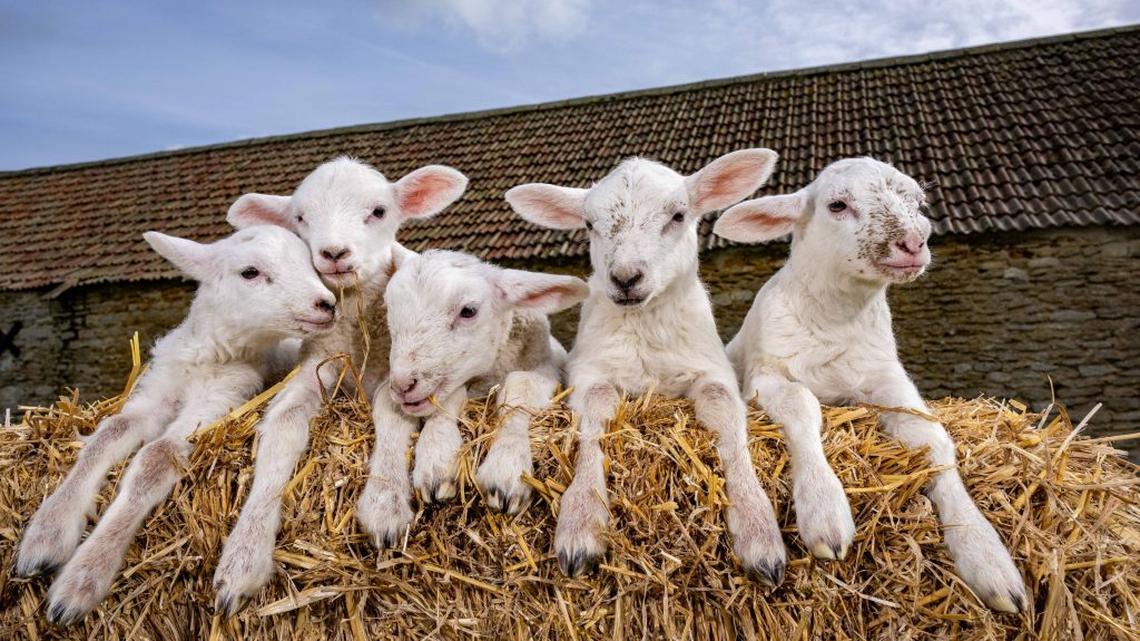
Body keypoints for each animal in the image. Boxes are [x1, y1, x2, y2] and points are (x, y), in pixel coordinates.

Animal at [15, 225, 337, 624]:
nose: (327, 303)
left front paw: (83, 577)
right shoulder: (156, 392)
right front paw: (46, 533)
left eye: (311, 263)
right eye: (250, 272)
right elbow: (110, 432)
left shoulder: (220, 397)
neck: (209, 353)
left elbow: (157, 455)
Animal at [212, 157, 468, 614]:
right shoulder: (318, 364)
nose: (333, 253)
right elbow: (283, 425)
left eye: (379, 211)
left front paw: (385, 504)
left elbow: (392, 410)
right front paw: (243, 556)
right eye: (300, 218)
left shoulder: (395, 372)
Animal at [358, 249, 589, 547]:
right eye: (389, 308)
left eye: (468, 311)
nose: (403, 384)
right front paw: (385, 501)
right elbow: (390, 410)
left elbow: (519, 386)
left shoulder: (548, 372)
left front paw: (504, 469)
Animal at [504, 149, 788, 583]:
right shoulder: (588, 371)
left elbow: (722, 405)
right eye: (589, 225)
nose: (625, 278)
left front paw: (758, 527)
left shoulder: (713, 369)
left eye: (679, 215)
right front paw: (581, 519)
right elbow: (598, 408)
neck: (644, 330)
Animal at [713, 157, 1027, 612]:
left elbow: (933, 438)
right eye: (837, 205)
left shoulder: (886, 377)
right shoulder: (765, 375)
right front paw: (825, 511)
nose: (913, 243)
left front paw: (987, 554)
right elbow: (802, 405)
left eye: (919, 203)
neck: (835, 321)